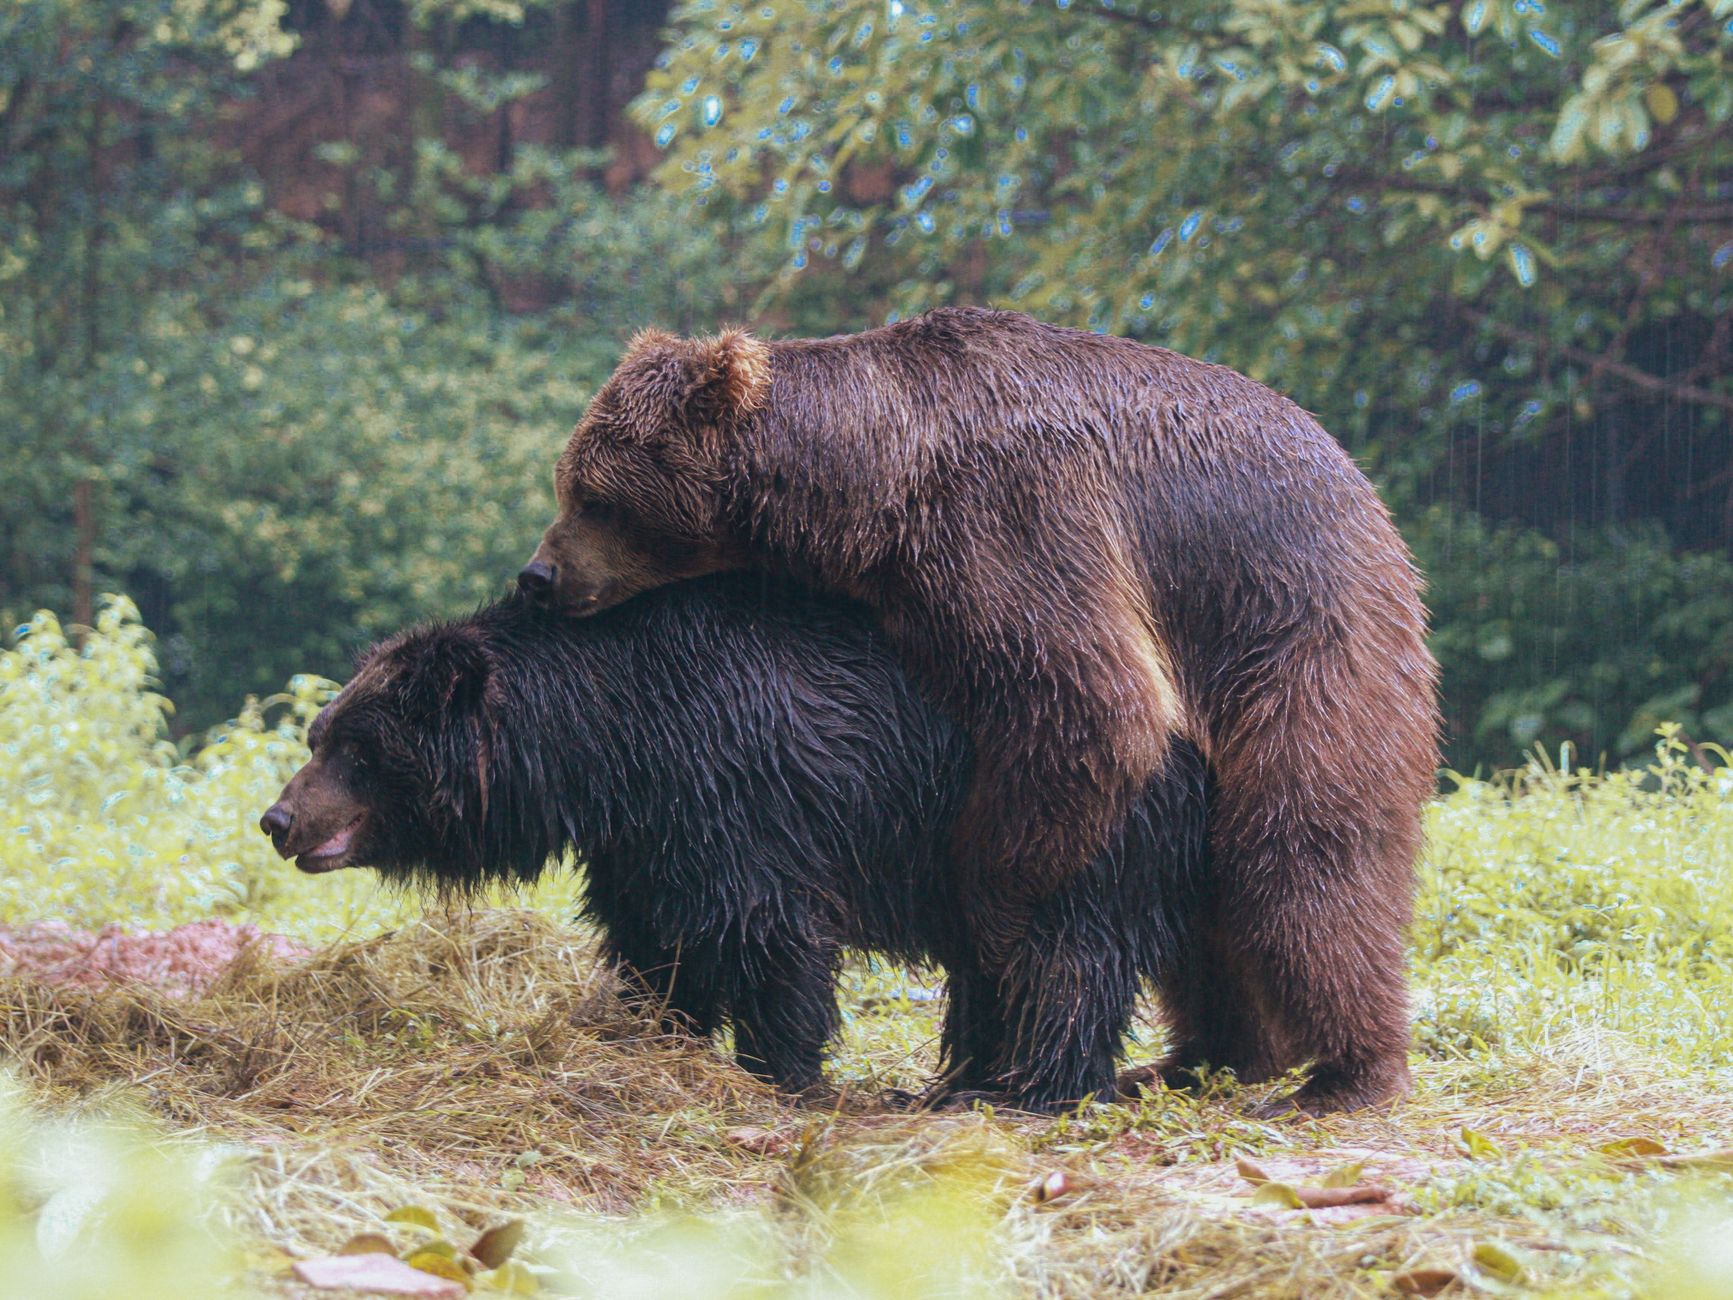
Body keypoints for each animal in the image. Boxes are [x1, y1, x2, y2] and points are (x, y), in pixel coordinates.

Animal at [259, 575, 1211, 1113]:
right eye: (319, 732)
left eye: (359, 749)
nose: (277, 820)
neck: (605, 744)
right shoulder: (642, 838)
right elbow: (653, 941)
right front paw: (651, 1032)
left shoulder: (738, 789)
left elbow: (763, 932)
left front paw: (777, 1070)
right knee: (995, 961)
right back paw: (954, 1079)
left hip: (1062, 821)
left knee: (1063, 952)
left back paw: (1029, 1088)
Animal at [517, 305, 1439, 1114]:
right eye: (570, 481)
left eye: (595, 496)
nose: (538, 576)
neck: (873, 482)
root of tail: (1379, 518)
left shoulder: (1011, 521)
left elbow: (1091, 708)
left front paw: (990, 914)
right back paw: (1198, 1058)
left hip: (1298, 648)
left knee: (1303, 865)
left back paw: (1345, 1075)